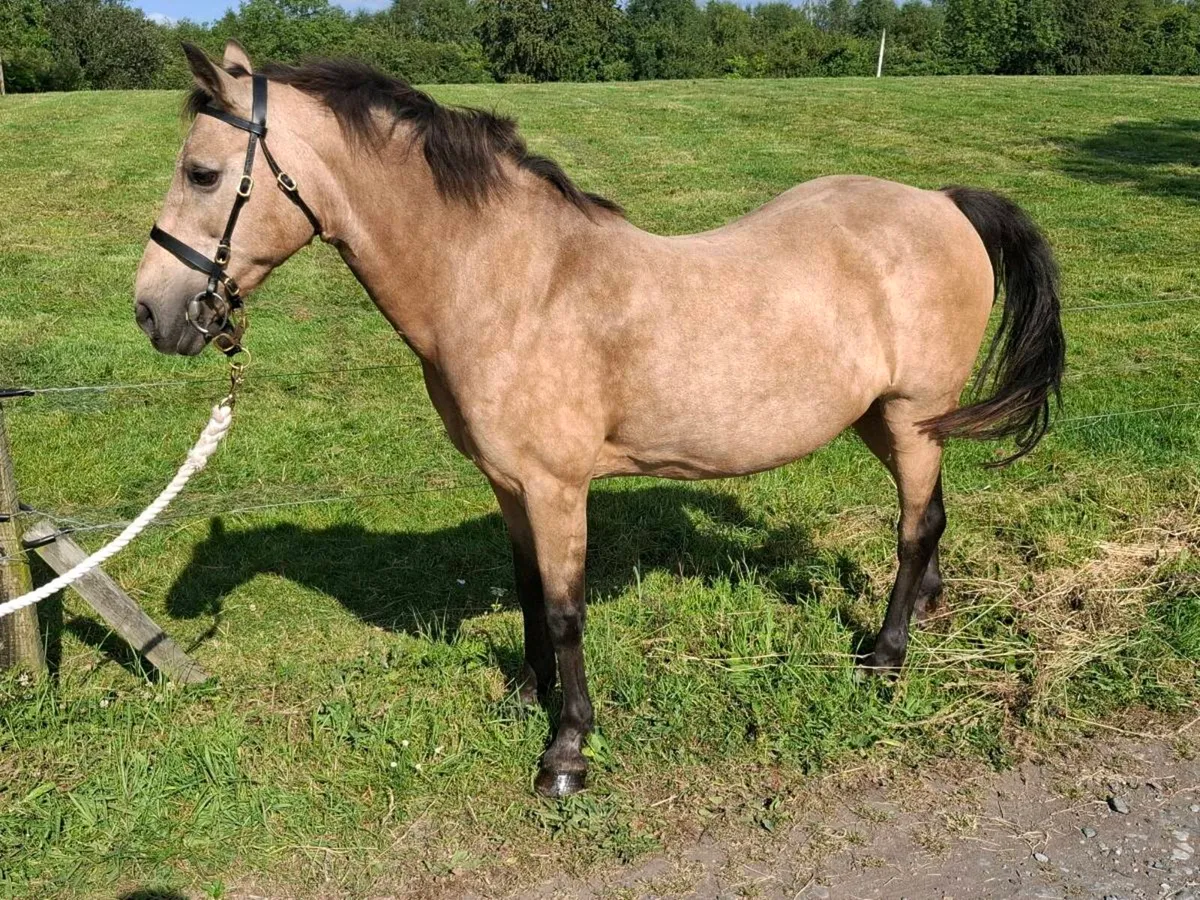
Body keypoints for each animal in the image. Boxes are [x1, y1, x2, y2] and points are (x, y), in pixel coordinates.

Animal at [135, 41, 1066, 797]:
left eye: (203, 174)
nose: (152, 312)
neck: (513, 282)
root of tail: (940, 201)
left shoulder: (557, 488)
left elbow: (565, 610)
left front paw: (567, 751)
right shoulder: (510, 485)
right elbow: (526, 591)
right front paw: (528, 693)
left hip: (912, 418)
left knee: (916, 525)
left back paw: (887, 656)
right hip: (883, 421)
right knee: (930, 518)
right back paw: (927, 614)